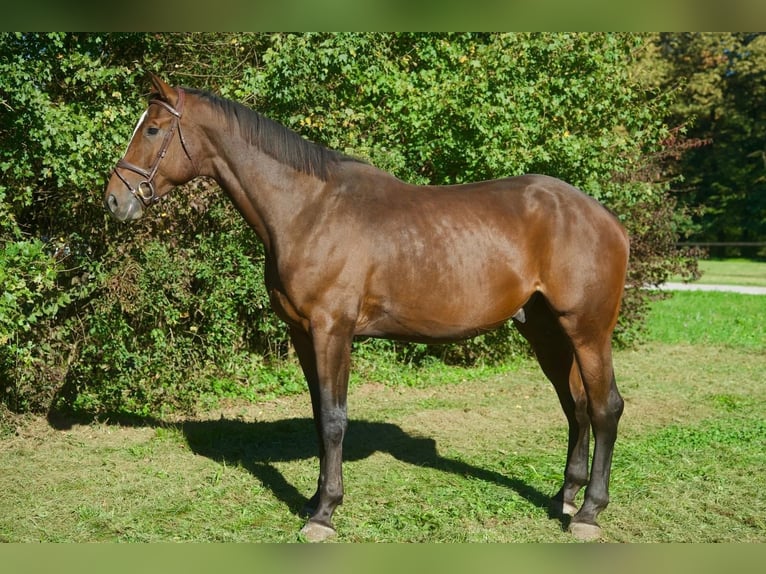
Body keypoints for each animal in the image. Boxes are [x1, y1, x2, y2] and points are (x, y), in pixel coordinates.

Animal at [105, 73, 628, 542]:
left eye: (152, 130)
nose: (114, 200)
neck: (308, 210)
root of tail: (607, 219)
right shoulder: (303, 334)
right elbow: (320, 417)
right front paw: (316, 500)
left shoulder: (332, 330)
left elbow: (335, 420)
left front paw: (324, 515)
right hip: (545, 331)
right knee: (576, 406)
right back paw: (565, 496)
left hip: (587, 331)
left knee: (605, 407)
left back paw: (588, 513)